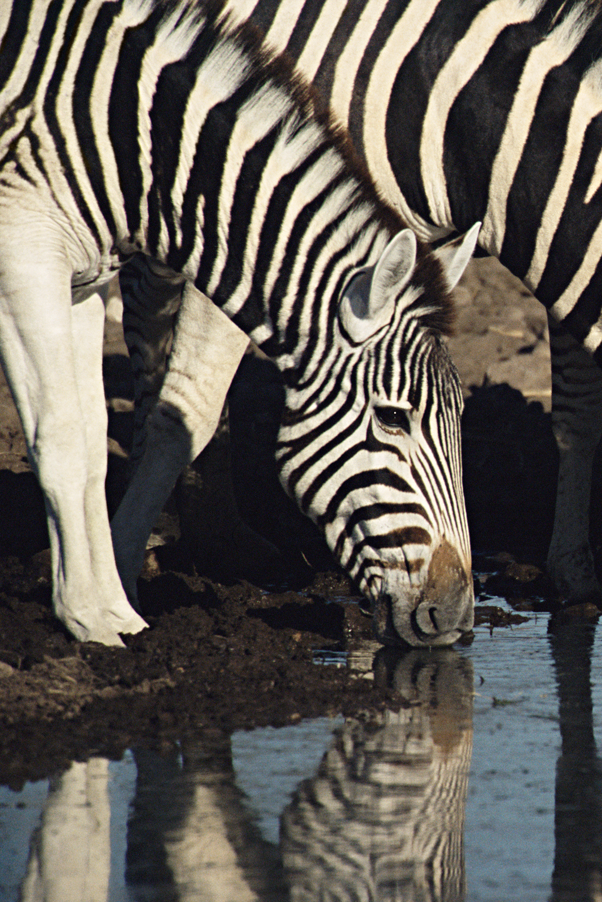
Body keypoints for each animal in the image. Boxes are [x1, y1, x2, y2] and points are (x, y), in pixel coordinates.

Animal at [0, 0, 478, 648]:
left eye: (460, 416)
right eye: (393, 418)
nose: (455, 618)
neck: (129, 135)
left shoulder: (83, 277)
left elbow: (93, 438)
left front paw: (112, 606)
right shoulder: (24, 254)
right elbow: (65, 437)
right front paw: (90, 617)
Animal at [116, 0, 602, 612]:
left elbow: (577, 410)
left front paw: (574, 573)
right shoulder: (252, 224)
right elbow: (193, 407)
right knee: (147, 312)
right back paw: (190, 533)